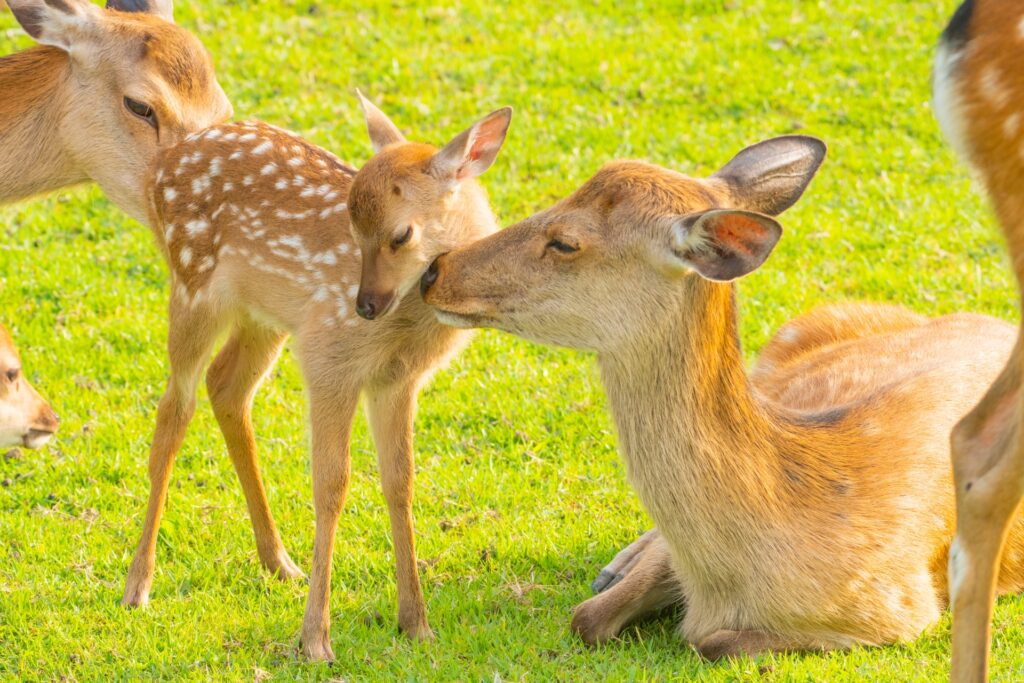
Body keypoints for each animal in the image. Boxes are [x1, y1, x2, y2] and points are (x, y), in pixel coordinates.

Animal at [119, 94, 512, 662]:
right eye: (352, 230)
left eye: (401, 234)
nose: (364, 305)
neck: (407, 326)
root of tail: (161, 164)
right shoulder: (330, 357)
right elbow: (332, 484)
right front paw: (315, 639)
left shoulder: (397, 380)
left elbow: (400, 481)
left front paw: (416, 623)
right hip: (193, 283)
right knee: (175, 409)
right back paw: (138, 586)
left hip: (264, 316)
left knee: (227, 387)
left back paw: (279, 562)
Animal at [420, 135, 1024, 659]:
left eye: (566, 241)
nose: (433, 270)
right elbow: (587, 616)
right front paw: (619, 576)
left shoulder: (899, 608)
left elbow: (712, 644)